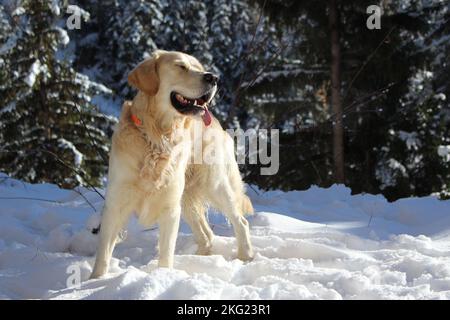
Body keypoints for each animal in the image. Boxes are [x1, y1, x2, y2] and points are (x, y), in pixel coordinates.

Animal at [89, 49, 255, 278]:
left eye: (200, 67)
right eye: (181, 66)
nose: (213, 78)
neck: (157, 137)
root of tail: (218, 124)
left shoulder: (170, 207)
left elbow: (166, 253)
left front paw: (163, 276)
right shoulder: (116, 203)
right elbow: (103, 254)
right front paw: (95, 281)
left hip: (214, 185)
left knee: (241, 221)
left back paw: (245, 256)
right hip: (187, 198)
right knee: (207, 234)